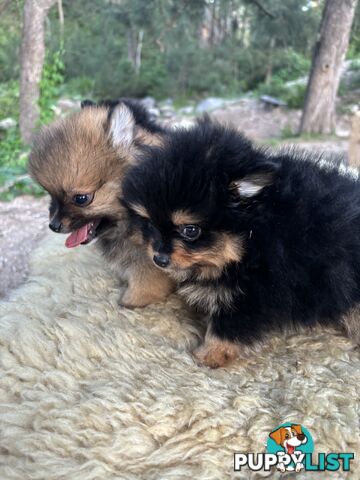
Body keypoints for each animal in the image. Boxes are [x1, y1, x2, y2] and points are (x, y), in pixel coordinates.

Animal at [29, 100, 173, 308]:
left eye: (81, 199)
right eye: (50, 196)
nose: (53, 225)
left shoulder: (149, 268)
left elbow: (139, 291)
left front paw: (126, 303)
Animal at [122, 118, 360, 366]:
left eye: (190, 230)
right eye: (150, 223)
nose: (159, 258)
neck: (254, 237)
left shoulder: (256, 291)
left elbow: (226, 327)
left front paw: (207, 356)